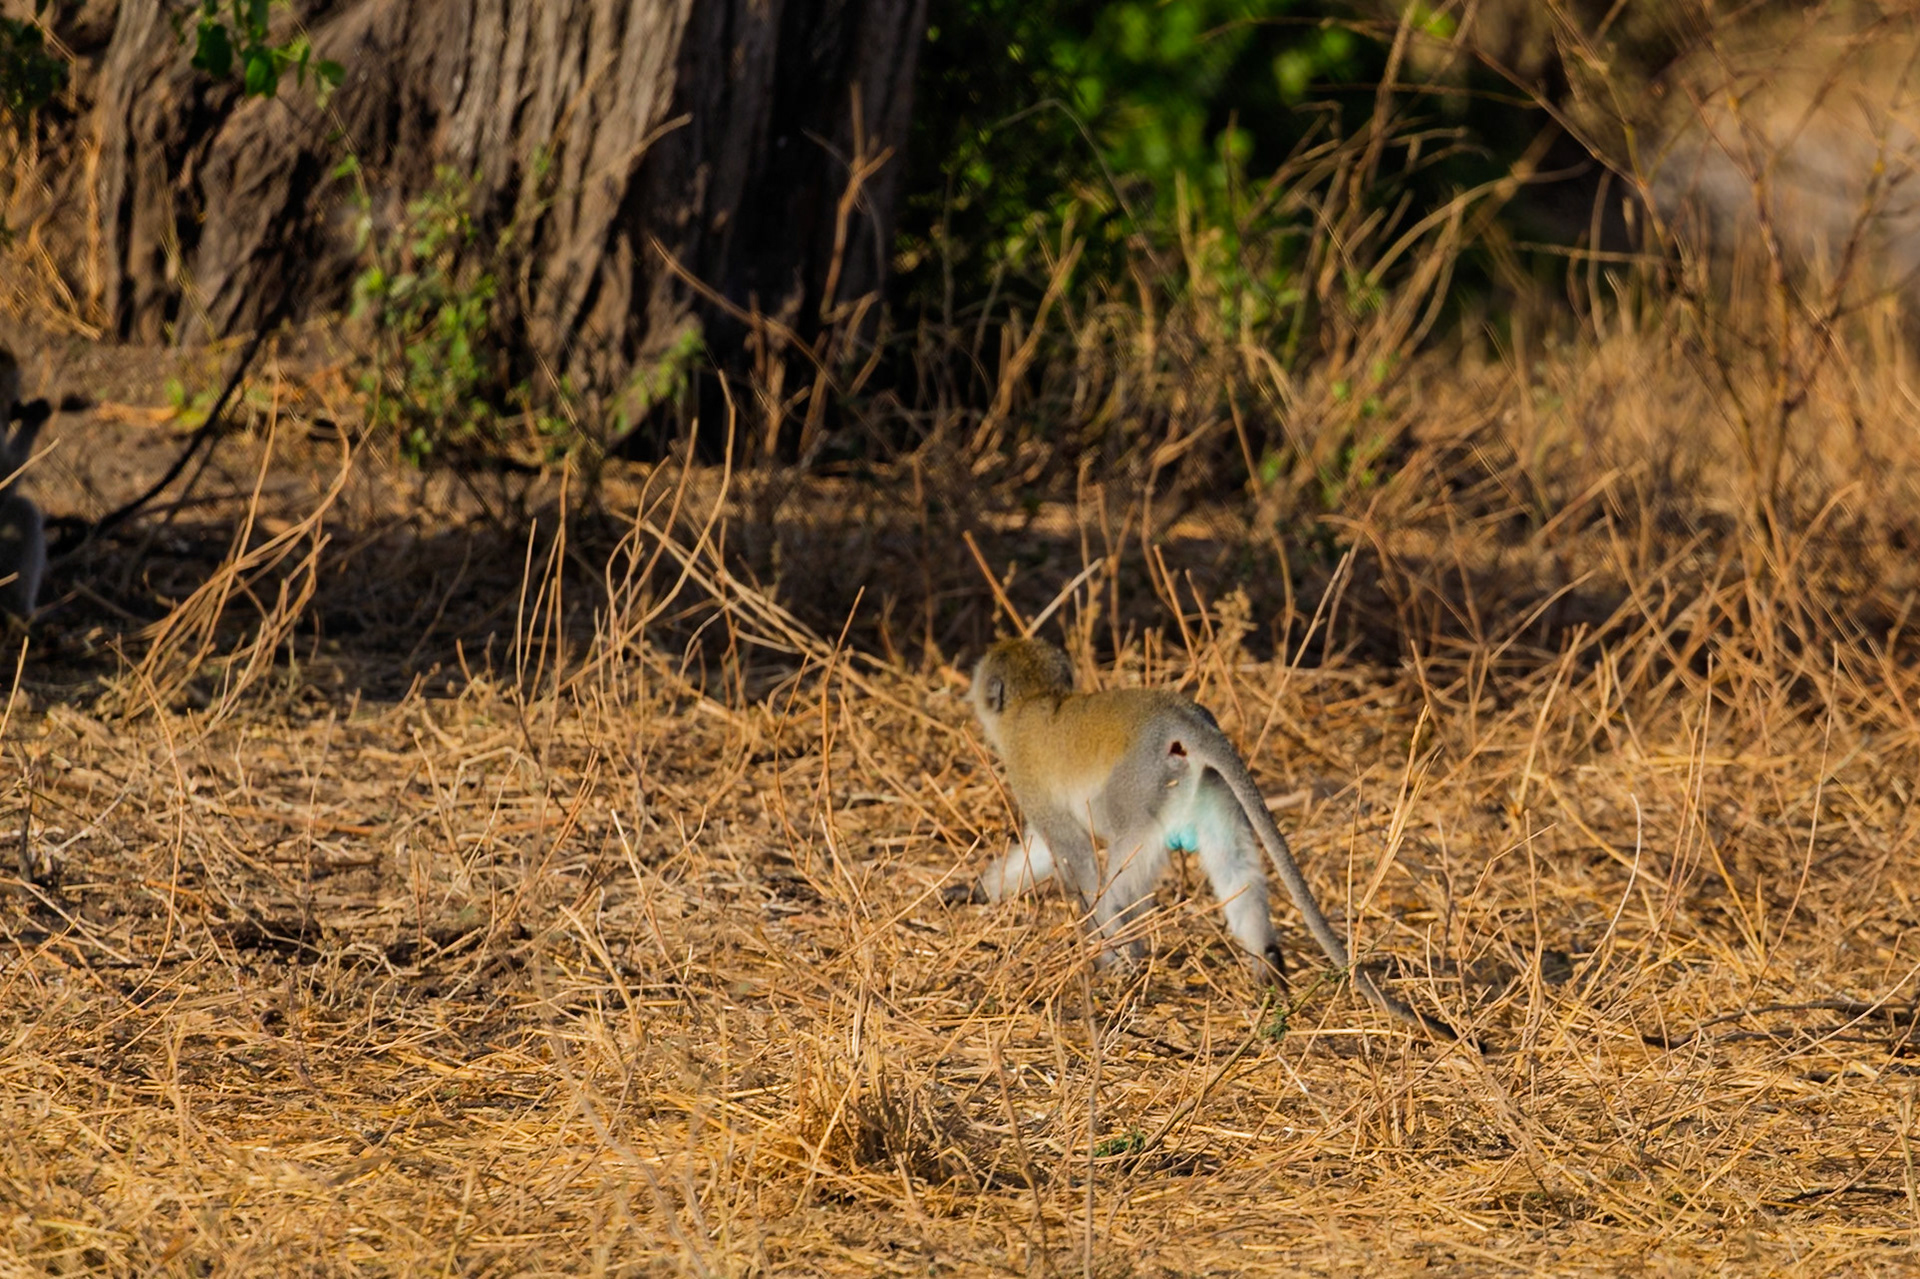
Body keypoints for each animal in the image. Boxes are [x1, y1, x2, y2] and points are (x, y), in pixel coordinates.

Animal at [950, 636, 1461, 1042]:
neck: (1036, 702)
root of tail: (1185, 720)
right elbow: (1039, 853)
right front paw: (975, 891)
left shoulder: (1027, 776)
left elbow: (1072, 852)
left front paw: (1104, 953)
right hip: (1211, 787)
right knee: (1235, 865)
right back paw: (1266, 964)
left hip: (1140, 787)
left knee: (1119, 874)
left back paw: (1125, 955)